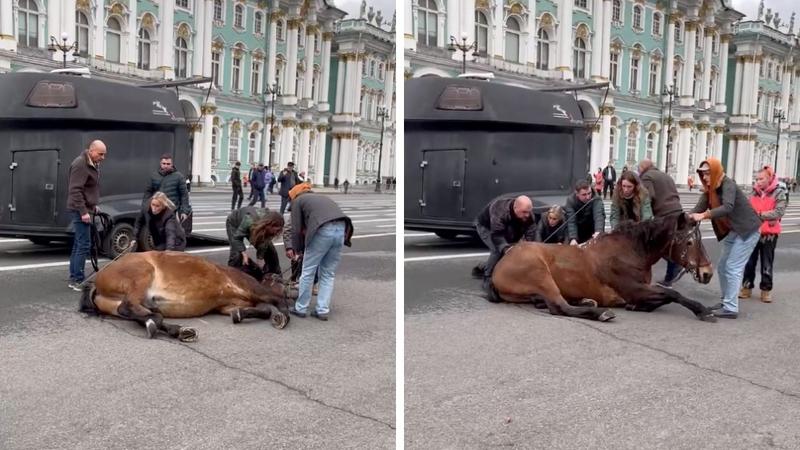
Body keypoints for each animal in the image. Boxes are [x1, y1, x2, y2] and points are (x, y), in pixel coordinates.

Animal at [79, 251, 292, 342]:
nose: (279, 278)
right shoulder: (252, 288)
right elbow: (273, 303)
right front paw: (282, 316)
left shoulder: (228, 305)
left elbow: (260, 309)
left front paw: (240, 315)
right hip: (141, 275)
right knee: (130, 307)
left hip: (115, 304)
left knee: (138, 314)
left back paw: (178, 330)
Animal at [482, 213, 720, 322]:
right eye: (689, 242)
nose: (707, 273)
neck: (631, 251)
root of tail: (501, 264)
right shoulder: (634, 289)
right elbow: (672, 294)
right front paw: (703, 310)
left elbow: (664, 296)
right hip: (541, 275)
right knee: (558, 306)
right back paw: (600, 312)